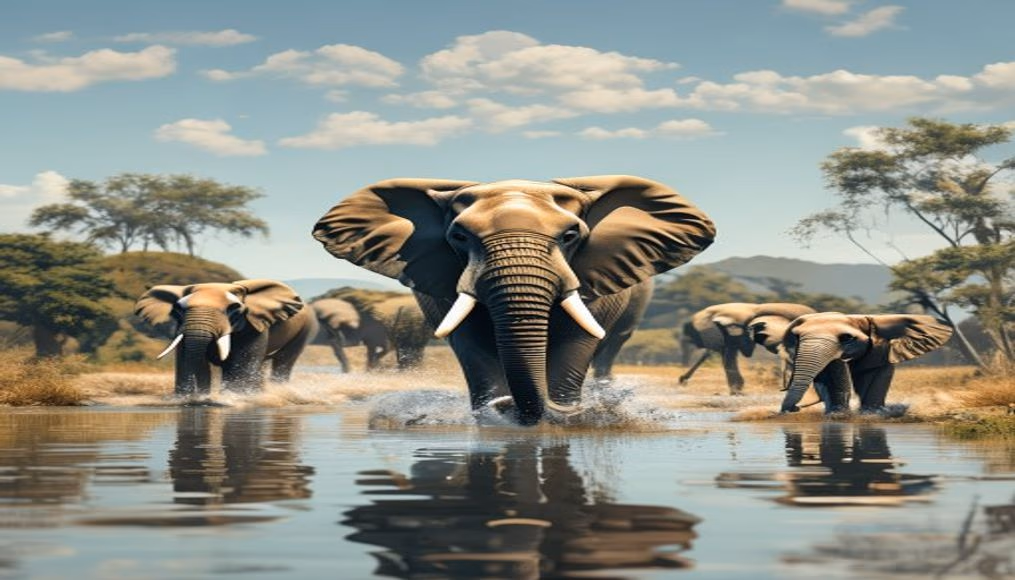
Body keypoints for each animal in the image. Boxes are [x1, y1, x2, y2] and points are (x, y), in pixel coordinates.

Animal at [135, 279, 318, 396]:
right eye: (178, 309)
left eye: (234, 309)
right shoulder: (180, 330)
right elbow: (187, 361)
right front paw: (194, 400)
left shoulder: (252, 326)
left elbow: (239, 365)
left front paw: (233, 399)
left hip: (305, 329)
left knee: (283, 361)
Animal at [313, 175, 715, 425]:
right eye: (459, 236)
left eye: (570, 235)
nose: (509, 405)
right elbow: (470, 341)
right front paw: (493, 416)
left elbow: (576, 341)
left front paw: (562, 416)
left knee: (611, 343)